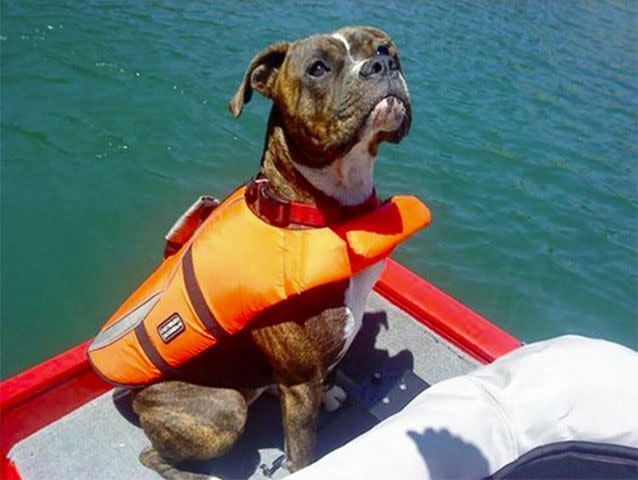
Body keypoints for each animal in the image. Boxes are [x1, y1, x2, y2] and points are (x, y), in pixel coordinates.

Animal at [134, 27, 416, 480]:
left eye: (385, 49)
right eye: (318, 68)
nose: (382, 65)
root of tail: (134, 398)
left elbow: (328, 377)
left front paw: (330, 395)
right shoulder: (299, 384)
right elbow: (302, 452)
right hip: (224, 410)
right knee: (152, 455)